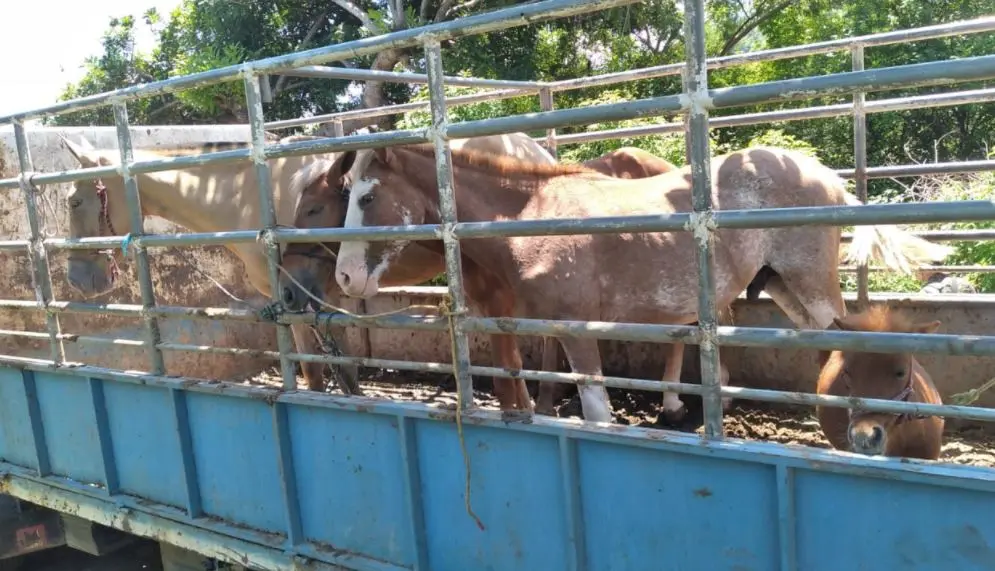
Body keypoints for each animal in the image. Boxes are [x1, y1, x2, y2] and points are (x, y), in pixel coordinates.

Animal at [322, 144, 951, 424]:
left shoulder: (578, 328)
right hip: (782, 287)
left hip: (810, 283)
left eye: (368, 197)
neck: (533, 216)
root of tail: (825, 176)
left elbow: (597, 409)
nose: (345, 276)